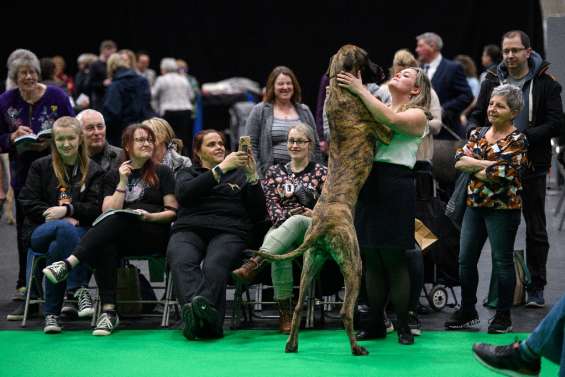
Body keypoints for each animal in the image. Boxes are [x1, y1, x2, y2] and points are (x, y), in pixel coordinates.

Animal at [256, 44, 392, 356]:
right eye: (367, 56)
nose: (382, 71)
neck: (339, 86)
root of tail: (318, 229)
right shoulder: (382, 130)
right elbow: (387, 125)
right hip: (353, 264)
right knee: (345, 311)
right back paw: (357, 348)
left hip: (310, 264)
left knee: (297, 307)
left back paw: (291, 344)